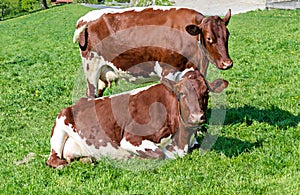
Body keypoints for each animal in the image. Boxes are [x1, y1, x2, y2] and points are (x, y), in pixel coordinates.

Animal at [46, 70, 227, 169]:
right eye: (181, 93)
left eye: (206, 92)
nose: (197, 117)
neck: (182, 139)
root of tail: (80, 102)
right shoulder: (129, 139)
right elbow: (159, 154)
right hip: (60, 124)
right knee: (53, 159)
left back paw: (87, 159)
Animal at [74, 6, 233, 97]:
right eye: (209, 37)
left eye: (228, 35)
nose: (227, 63)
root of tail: (86, 18)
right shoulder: (168, 72)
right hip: (91, 67)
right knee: (91, 93)